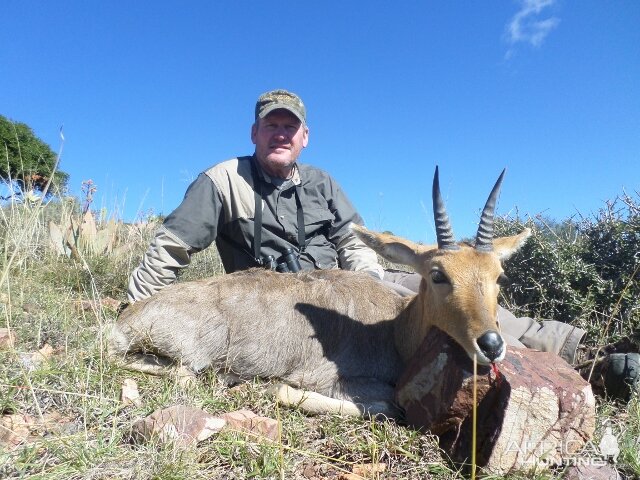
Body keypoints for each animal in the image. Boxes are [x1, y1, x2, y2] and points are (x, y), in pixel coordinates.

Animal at [109, 168, 528, 416]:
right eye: (438, 274)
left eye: (498, 275)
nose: (491, 345)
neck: (393, 327)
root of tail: (128, 316)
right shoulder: (328, 380)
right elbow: (384, 406)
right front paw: (270, 389)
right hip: (185, 361)